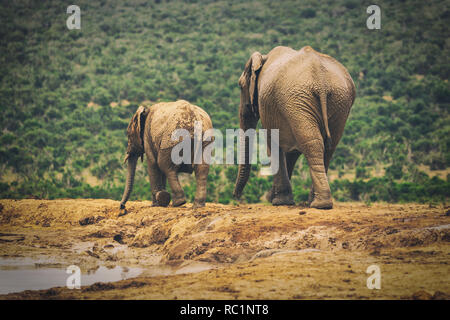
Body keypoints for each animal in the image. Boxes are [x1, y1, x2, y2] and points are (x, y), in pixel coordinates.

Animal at [232, 46, 356, 209]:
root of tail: (320, 78)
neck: (263, 58)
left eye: (240, 86)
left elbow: (273, 143)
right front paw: (277, 199)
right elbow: (291, 151)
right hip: (336, 101)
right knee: (329, 147)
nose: (235, 196)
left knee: (312, 143)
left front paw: (279, 202)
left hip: (299, 99)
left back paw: (320, 204)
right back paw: (315, 202)